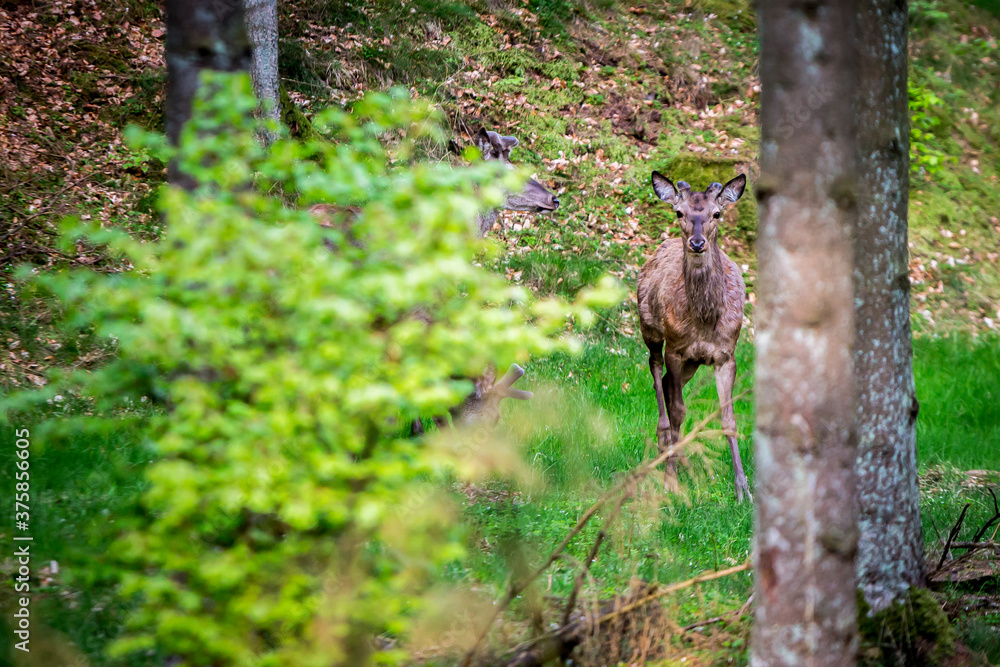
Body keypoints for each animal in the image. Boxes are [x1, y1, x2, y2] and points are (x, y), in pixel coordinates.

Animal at [637, 171, 751, 502]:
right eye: (679, 212)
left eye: (717, 214)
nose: (697, 243)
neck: (704, 320)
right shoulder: (676, 349)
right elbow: (678, 410)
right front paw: (670, 482)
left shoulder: (726, 354)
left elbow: (729, 419)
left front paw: (742, 489)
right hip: (650, 329)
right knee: (656, 373)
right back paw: (665, 446)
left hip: (694, 362)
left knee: (665, 383)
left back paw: (679, 456)